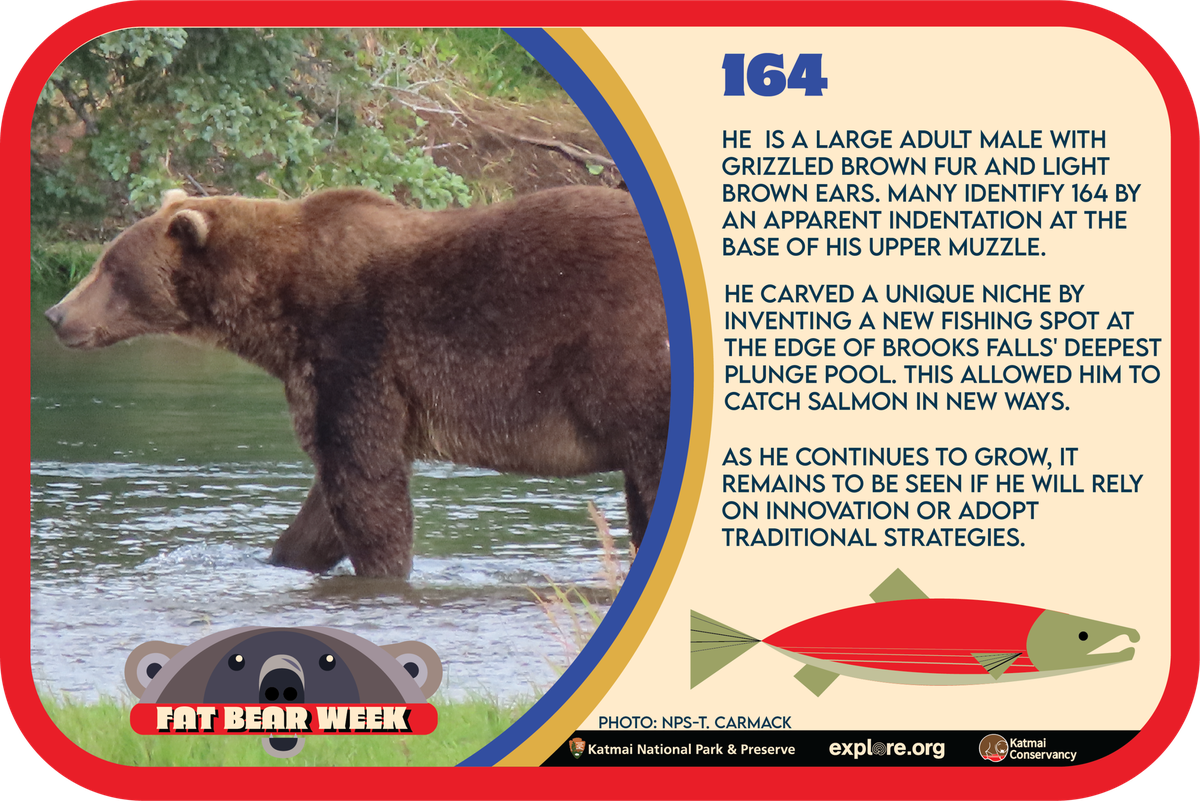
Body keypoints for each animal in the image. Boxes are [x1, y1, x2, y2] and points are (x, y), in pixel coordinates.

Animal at [45, 186, 670, 579]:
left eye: (111, 268)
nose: (55, 313)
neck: (278, 305)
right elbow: (325, 501)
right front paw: (280, 557)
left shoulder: (356, 348)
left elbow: (364, 479)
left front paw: (385, 570)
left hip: (631, 361)